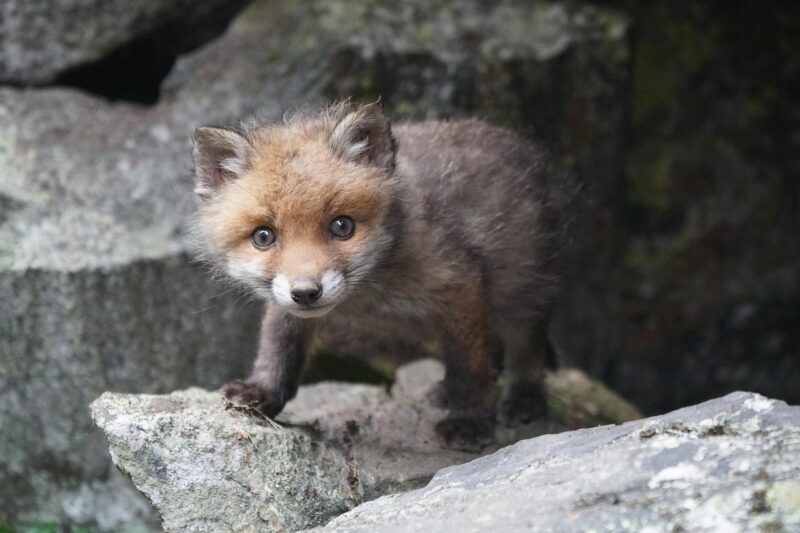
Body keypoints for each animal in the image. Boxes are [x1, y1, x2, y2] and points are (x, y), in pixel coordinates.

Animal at [190, 102, 568, 451]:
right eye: (263, 236)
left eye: (342, 226)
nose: (307, 292)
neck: (367, 301)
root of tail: (519, 143)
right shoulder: (285, 307)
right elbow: (278, 350)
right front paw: (262, 392)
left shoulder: (460, 285)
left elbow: (469, 369)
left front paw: (470, 420)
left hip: (525, 289)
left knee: (526, 348)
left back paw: (524, 399)